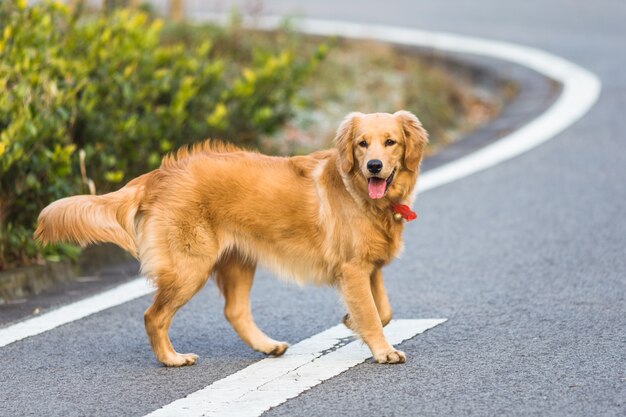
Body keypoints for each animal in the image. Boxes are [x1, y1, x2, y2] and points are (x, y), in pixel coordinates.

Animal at [35, 109, 428, 364]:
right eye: (362, 144)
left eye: (390, 142)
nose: (374, 166)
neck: (362, 195)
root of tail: (157, 176)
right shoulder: (352, 269)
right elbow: (373, 315)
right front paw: (383, 351)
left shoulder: (369, 268)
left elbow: (383, 310)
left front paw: (351, 322)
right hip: (189, 268)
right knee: (153, 316)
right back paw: (171, 359)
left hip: (237, 262)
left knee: (234, 311)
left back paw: (267, 346)